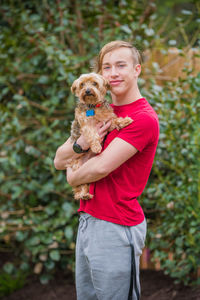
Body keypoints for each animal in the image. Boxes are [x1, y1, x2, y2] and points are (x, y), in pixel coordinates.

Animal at [67, 72, 133, 200]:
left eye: (94, 83)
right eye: (82, 84)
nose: (87, 90)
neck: (93, 106)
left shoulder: (108, 121)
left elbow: (115, 121)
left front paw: (124, 121)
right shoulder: (86, 125)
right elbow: (92, 134)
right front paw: (96, 147)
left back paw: (86, 194)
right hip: (78, 169)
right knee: (78, 187)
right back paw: (82, 194)